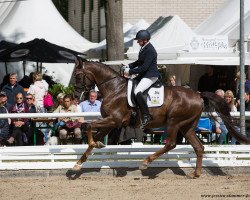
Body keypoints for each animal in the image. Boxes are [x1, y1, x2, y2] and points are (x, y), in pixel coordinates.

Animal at [72, 58, 250, 177]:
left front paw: (93, 145)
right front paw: (78, 163)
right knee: (199, 147)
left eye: (78, 75)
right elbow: (93, 134)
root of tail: (198, 94)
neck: (114, 88)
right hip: (187, 127)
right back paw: (196, 174)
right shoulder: (110, 122)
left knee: (171, 143)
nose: (75, 95)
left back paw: (146, 162)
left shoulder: (114, 120)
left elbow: (88, 126)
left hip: (173, 122)